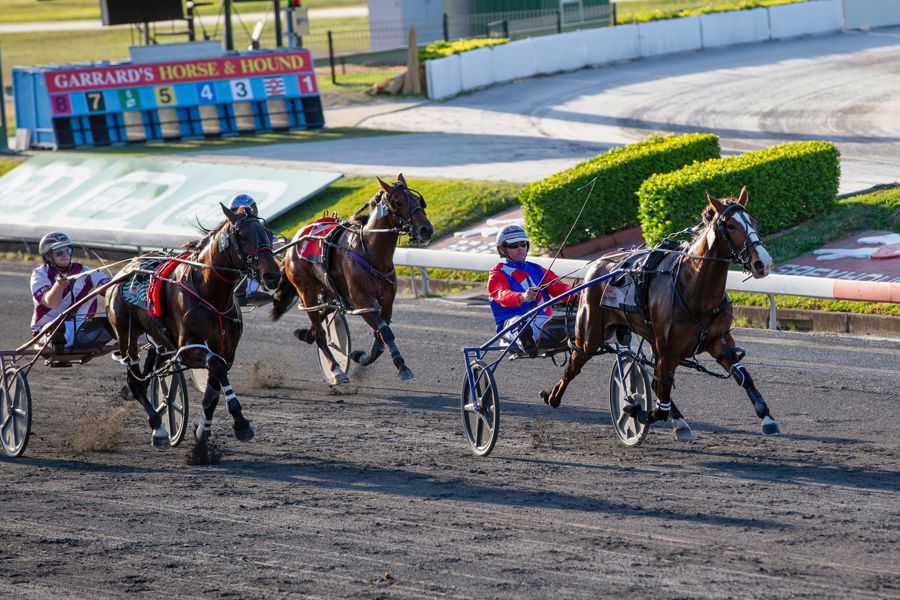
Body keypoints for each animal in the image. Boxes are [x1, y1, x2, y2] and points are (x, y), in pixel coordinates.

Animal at [106, 204, 281, 448]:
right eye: (243, 234)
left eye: (267, 232)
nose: (273, 275)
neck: (211, 294)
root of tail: (125, 270)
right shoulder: (189, 349)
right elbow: (215, 366)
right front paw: (241, 423)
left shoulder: (227, 350)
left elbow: (213, 392)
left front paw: (203, 430)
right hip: (125, 335)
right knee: (134, 379)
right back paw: (159, 428)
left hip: (156, 335)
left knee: (151, 363)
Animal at [271, 174, 433, 383]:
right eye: (398, 202)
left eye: (416, 200)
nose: (425, 230)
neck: (370, 253)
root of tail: (296, 239)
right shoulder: (362, 301)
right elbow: (386, 333)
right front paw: (402, 366)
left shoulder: (386, 302)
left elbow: (380, 337)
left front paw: (360, 356)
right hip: (306, 290)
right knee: (319, 331)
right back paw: (335, 369)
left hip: (330, 290)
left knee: (322, 315)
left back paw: (306, 334)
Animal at [541, 187, 781, 439]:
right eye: (732, 226)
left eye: (755, 222)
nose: (763, 263)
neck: (693, 289)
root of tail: (599, 264)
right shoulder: (669, 349)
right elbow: (659, 396)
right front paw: (636, 409)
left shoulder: (718, 339)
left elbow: (743, 376)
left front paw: (767, 418)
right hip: (591, 334)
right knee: (575, 363)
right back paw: (552, 396)